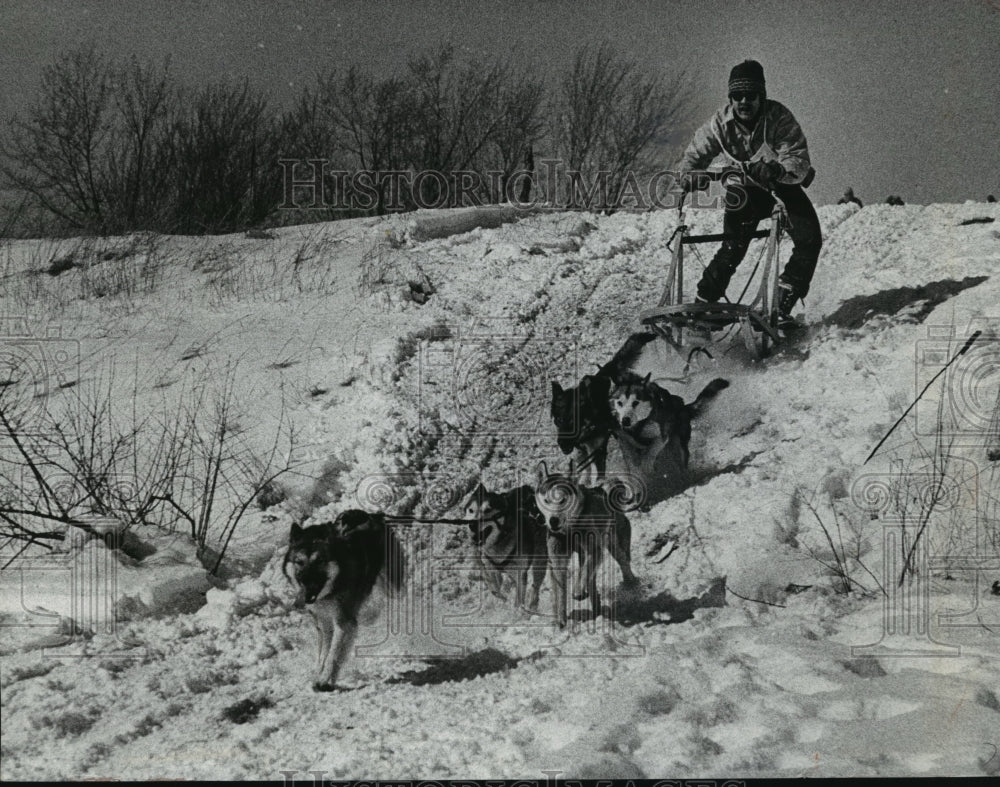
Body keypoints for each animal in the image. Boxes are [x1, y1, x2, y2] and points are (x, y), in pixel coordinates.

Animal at [282, 510, 406, 688]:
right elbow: (323, 654)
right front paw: (319, 674)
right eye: (299, 562)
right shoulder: (324, 623)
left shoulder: (344, 623)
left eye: (319, 561)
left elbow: (333, 655)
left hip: (392, 585)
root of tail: (375, 514)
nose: (305, 580)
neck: (329, 593)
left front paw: (324, 680)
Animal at [460, 480, 548, 616]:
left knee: (536, 586)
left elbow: (519, 597)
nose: (472, 525)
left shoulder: (520, 573)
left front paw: (516, 613)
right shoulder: (490, 568)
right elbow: (494, 588)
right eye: (471, 510)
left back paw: (533, 605)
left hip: (539, 560)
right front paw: (501, 600)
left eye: (488, 510)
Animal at [536, 462, 636, 628]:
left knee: (622, 561)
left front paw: (577, 591)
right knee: (590, 581)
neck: (569, 530)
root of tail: (603, 488)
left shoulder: (594, 549)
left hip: (612, 545)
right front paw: (560, 619)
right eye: (546, 501)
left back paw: (631, 583)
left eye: (562, 500)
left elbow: (583, 573)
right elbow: (560, 591)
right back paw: (596, 608)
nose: (553, 521)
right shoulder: (557, 560)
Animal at [548, 330, 656, 484]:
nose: (561, 444)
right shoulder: (592, 449)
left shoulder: (605, 438)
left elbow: (632, 441)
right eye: (558, 420)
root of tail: (606, 370)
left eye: (573, 421)